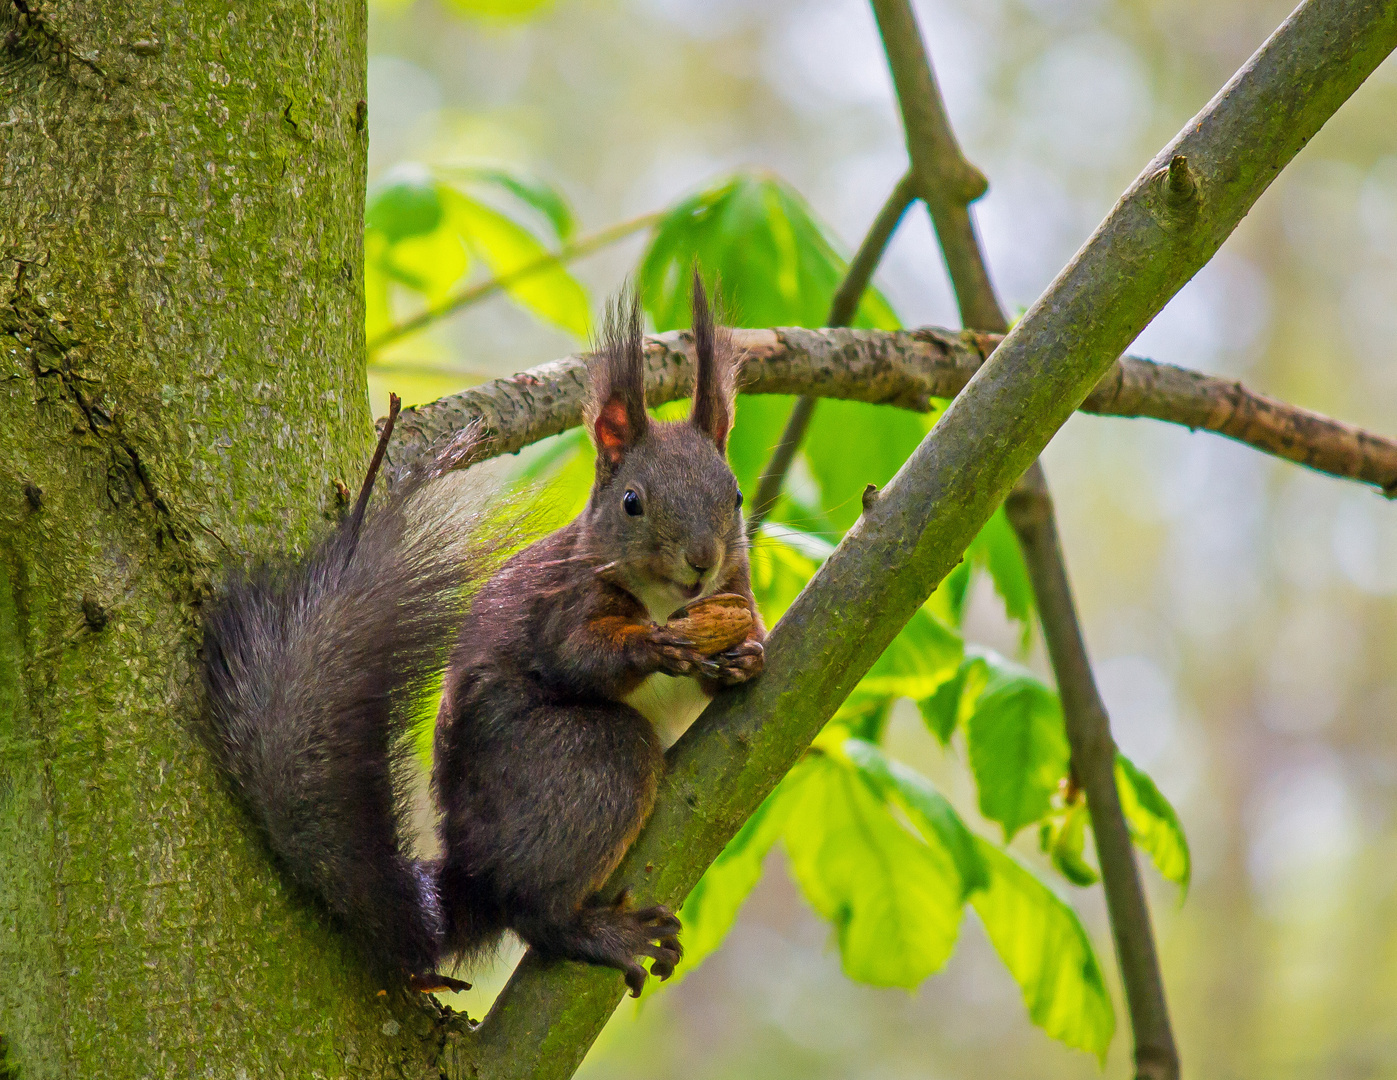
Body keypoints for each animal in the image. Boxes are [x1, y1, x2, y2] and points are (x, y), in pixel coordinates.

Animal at [201, 273, 765, 1000]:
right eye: (632, 502)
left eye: (736, 497)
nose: (700, 560)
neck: (670, 603)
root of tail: (472, 881)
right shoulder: (561, 601)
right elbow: (575, 657)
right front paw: (652, 647)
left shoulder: (736, 593)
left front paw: (743, 657)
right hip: (584, 765)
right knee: (538, 909)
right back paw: (596, 932)